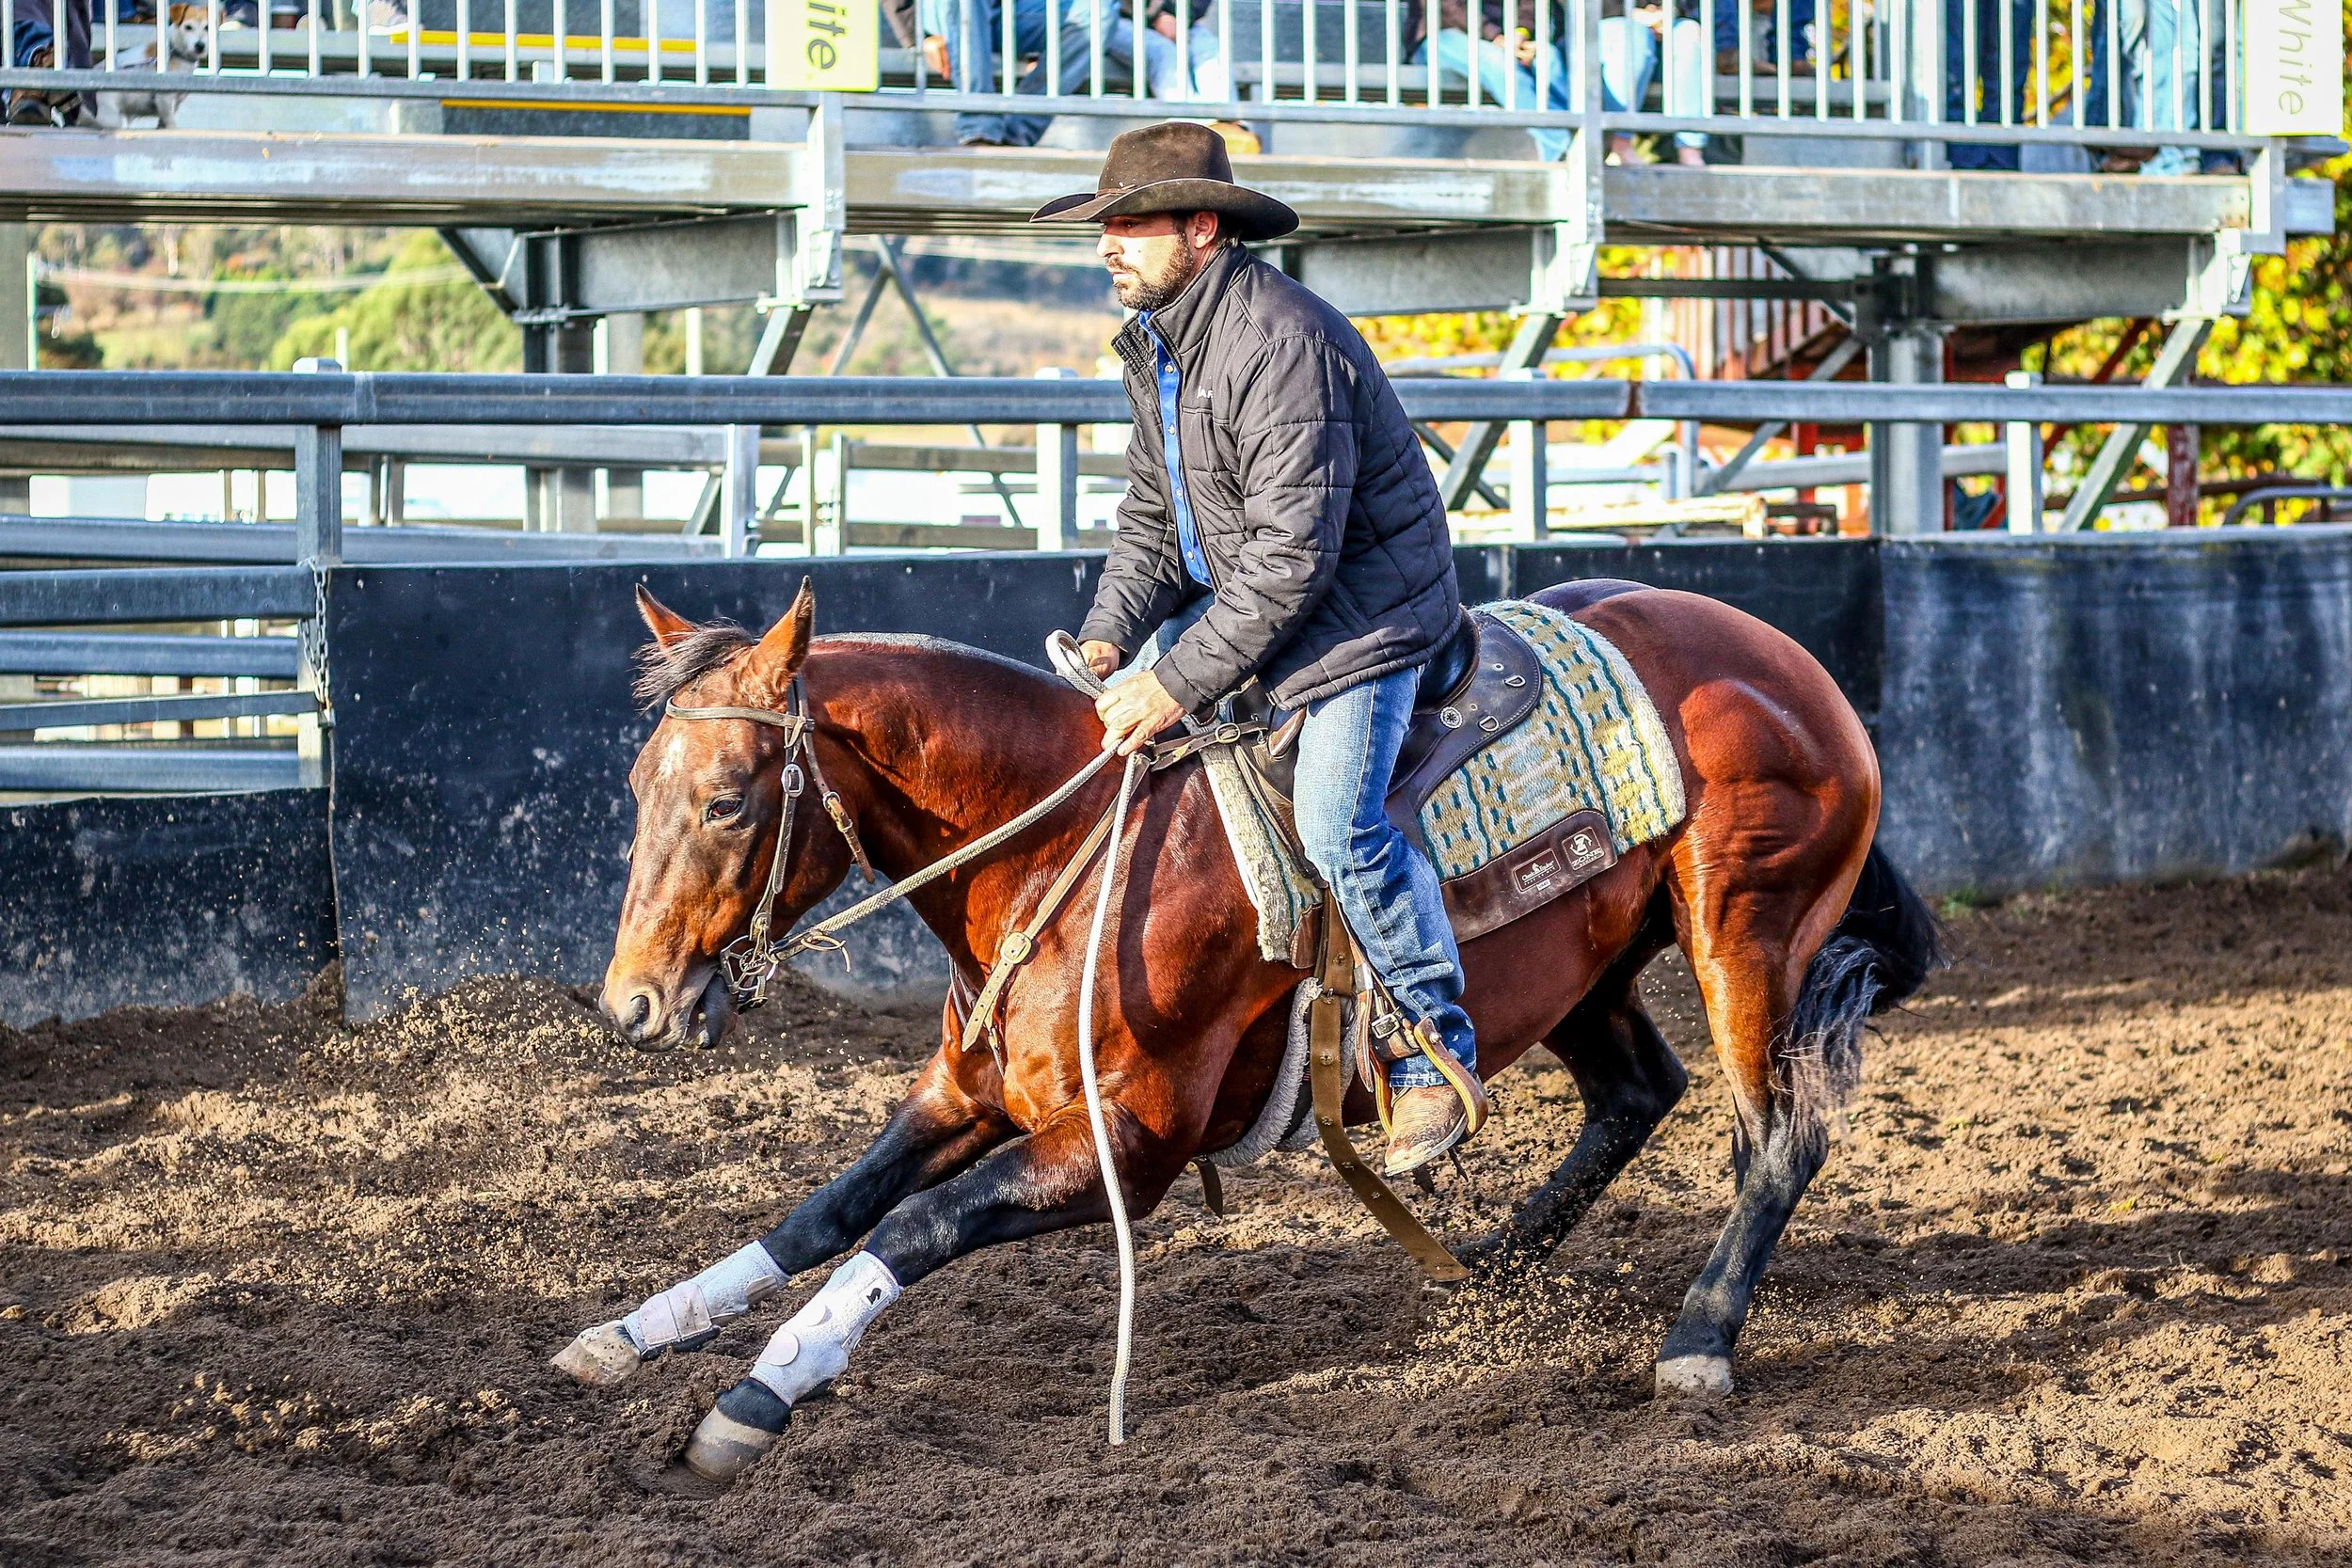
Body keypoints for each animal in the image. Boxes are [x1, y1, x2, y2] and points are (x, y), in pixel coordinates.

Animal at [560, 575, 1944, 1483]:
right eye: (633, 786)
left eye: (727, 799)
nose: (634, 1002)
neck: (1066, 847)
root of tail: (1791, 663)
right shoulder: (964, 1097)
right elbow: (822, 1213)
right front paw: (632, 1332)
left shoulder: (1126, 1145)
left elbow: (910, 1227)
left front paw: (753, 1396)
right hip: (1585, 970)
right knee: (1637, 1089)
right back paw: (1488, 1264)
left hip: (1744, 932)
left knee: (1775, 1137)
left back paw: (1698, 1339)